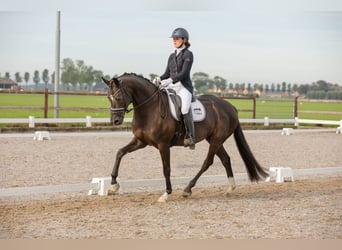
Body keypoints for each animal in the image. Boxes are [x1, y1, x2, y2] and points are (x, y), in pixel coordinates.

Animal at [101, 73, 268, 202]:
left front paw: (166, 194)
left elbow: (166, 168)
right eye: (108, 97)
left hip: (216, 140)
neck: (150, 109)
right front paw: (113, 186)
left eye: (118, 96)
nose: (115, 121)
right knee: (225, 159)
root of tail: (231, 107)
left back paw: (188, 189)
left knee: (208, 162)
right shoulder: (140, 142)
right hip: (214, 139)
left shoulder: (163, 145)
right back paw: (230, 188)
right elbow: (120, 152)